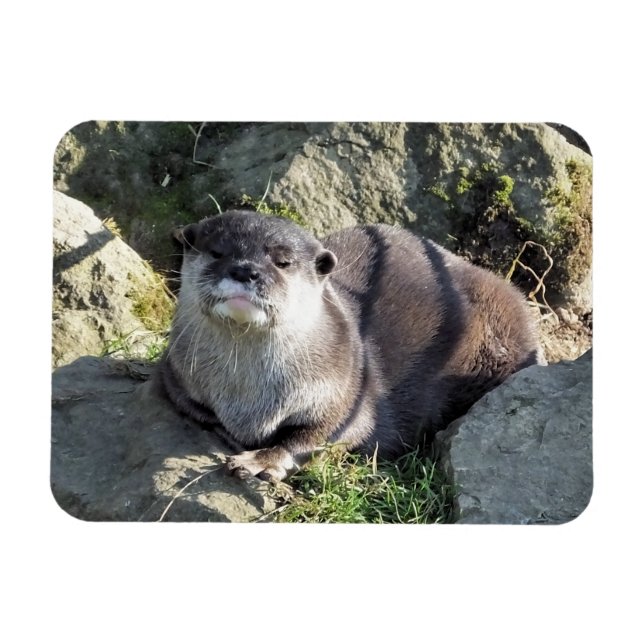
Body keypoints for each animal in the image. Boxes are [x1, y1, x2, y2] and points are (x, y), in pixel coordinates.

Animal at [158, 210, 543, 482]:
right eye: (216, 252)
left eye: (282, 261)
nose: (244, 270)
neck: (248, 399)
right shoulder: (174, 371)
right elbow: (197, 410)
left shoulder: (348, 390)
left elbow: (319, 436)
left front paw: (260, 460)